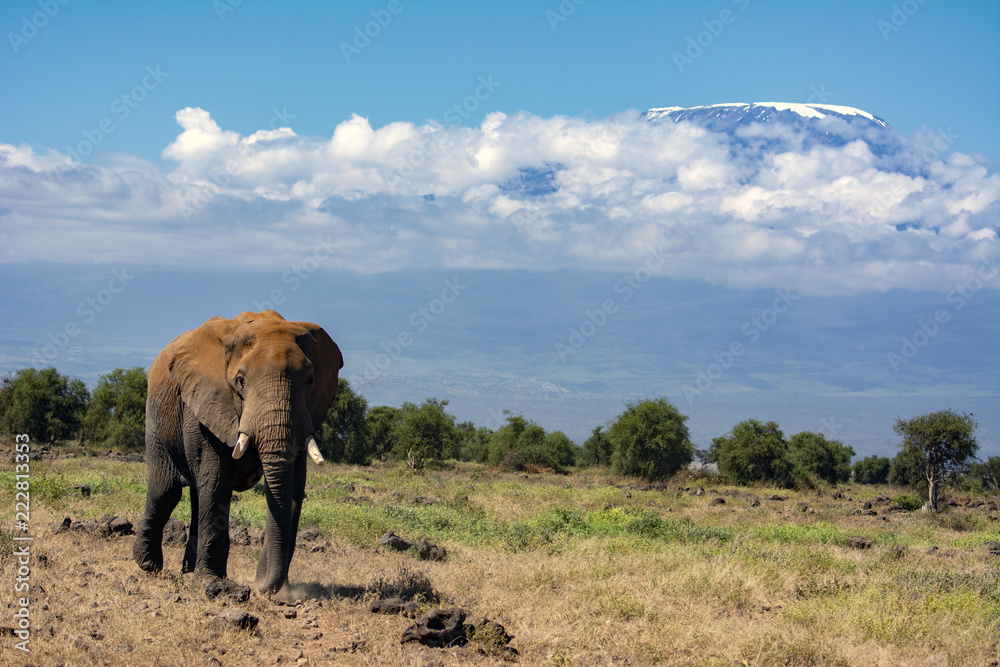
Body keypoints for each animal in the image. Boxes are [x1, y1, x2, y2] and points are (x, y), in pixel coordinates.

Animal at [132, 310, 343, 598]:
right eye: (240, 382)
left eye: (310, 381)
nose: (257, 585)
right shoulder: (206, 403)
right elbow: (217, 480)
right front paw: (212, 583)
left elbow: (295, 486)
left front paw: (280, 594)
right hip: (157, 415)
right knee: (167, 491)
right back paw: (148, 565)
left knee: (196, 495)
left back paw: (187, 573)